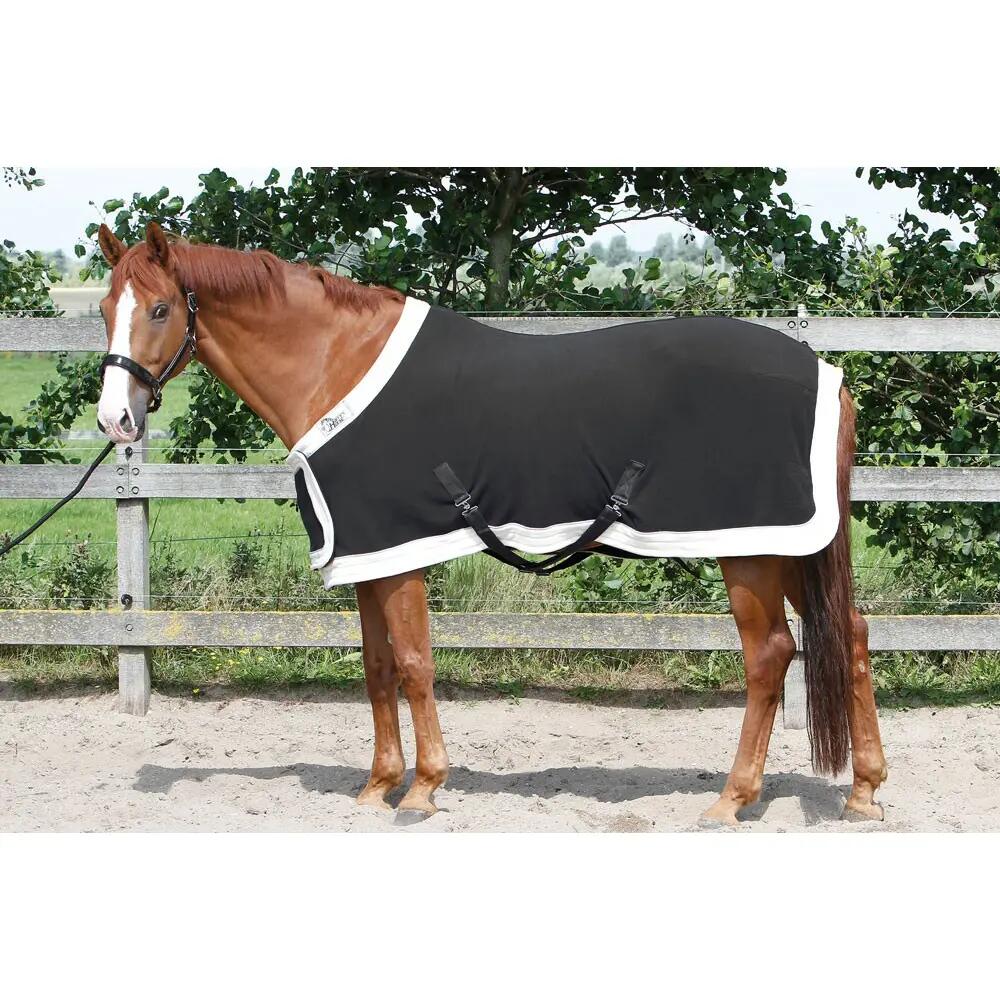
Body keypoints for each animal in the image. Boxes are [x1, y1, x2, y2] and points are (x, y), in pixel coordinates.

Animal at [94, 221, 887, 826]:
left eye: (160, 309)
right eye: (105, 308)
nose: (115, 421)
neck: (337, 365)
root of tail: (827, 374)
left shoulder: (401, 552)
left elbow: (415, 664)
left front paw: (423, 790)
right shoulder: (371, 556)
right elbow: (378, 668)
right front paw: (378, 785)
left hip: (750, 551)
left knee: (769, 657)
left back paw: (732, 799)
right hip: (791, 546)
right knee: (849, 634)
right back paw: (864, 792)